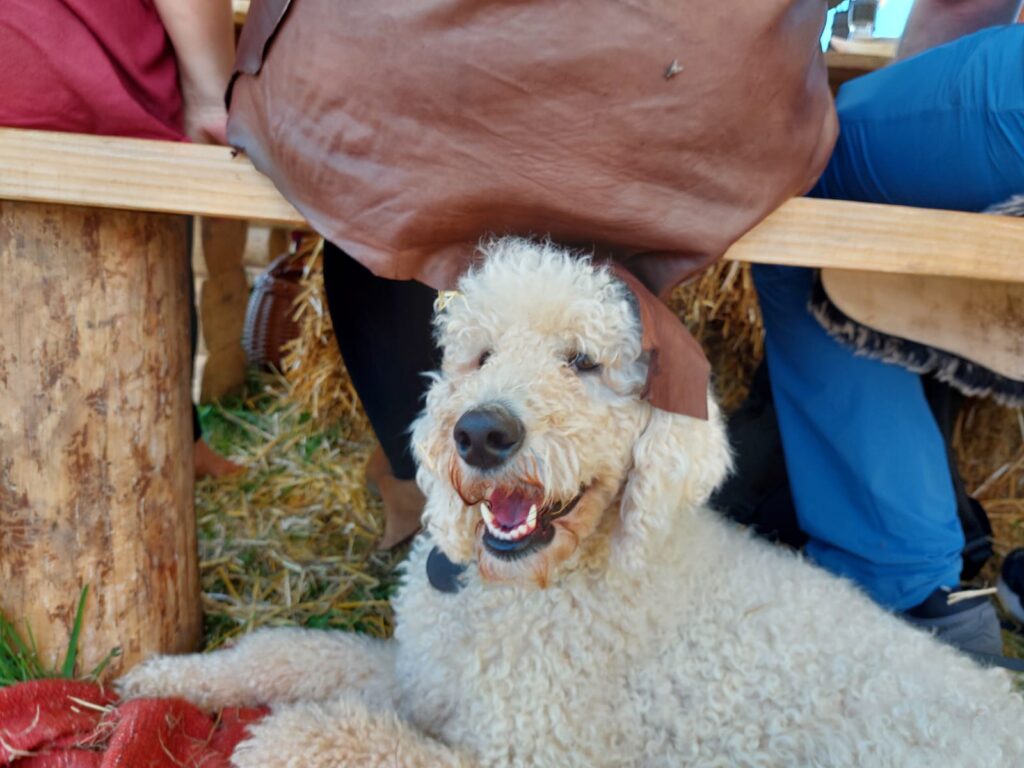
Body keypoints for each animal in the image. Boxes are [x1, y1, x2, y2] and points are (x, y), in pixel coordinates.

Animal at [125, 239, 1024, 765]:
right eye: (479, 355)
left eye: (585, 363)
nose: (481, 432)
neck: (524, 593)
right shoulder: (424, 678)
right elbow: (292, 652)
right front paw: (171, 677)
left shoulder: (526, 751)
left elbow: (336, 734)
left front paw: (272, 737)